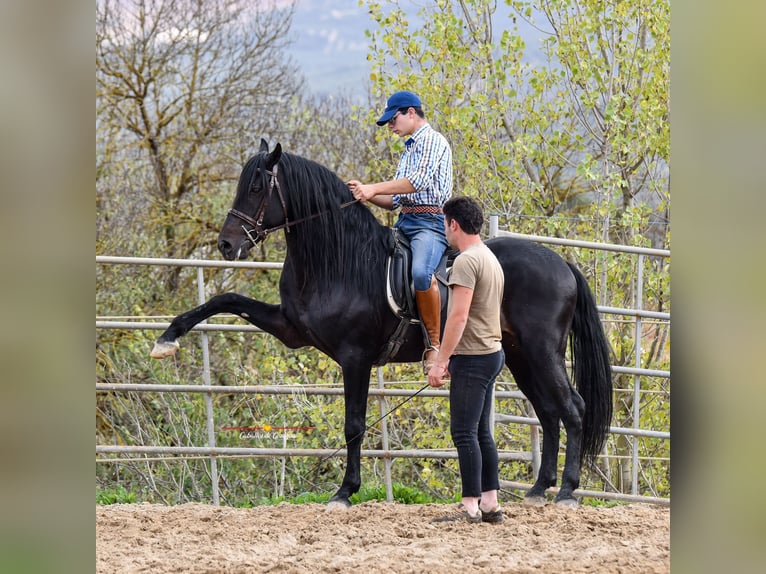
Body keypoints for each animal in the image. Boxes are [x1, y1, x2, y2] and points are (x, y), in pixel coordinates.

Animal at [152, 142, 612, 510]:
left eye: (256, 188)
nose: (227, 244)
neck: (340, 260)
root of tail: (561, 264)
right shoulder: (290, 331)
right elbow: (225, 299)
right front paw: (168, 338)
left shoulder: (354, 358)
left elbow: (353, 425)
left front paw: (344, 491)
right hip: (519, 356)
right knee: (549, 412)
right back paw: (538, 489)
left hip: (540, 351)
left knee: (572, 408)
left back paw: (567, 491)